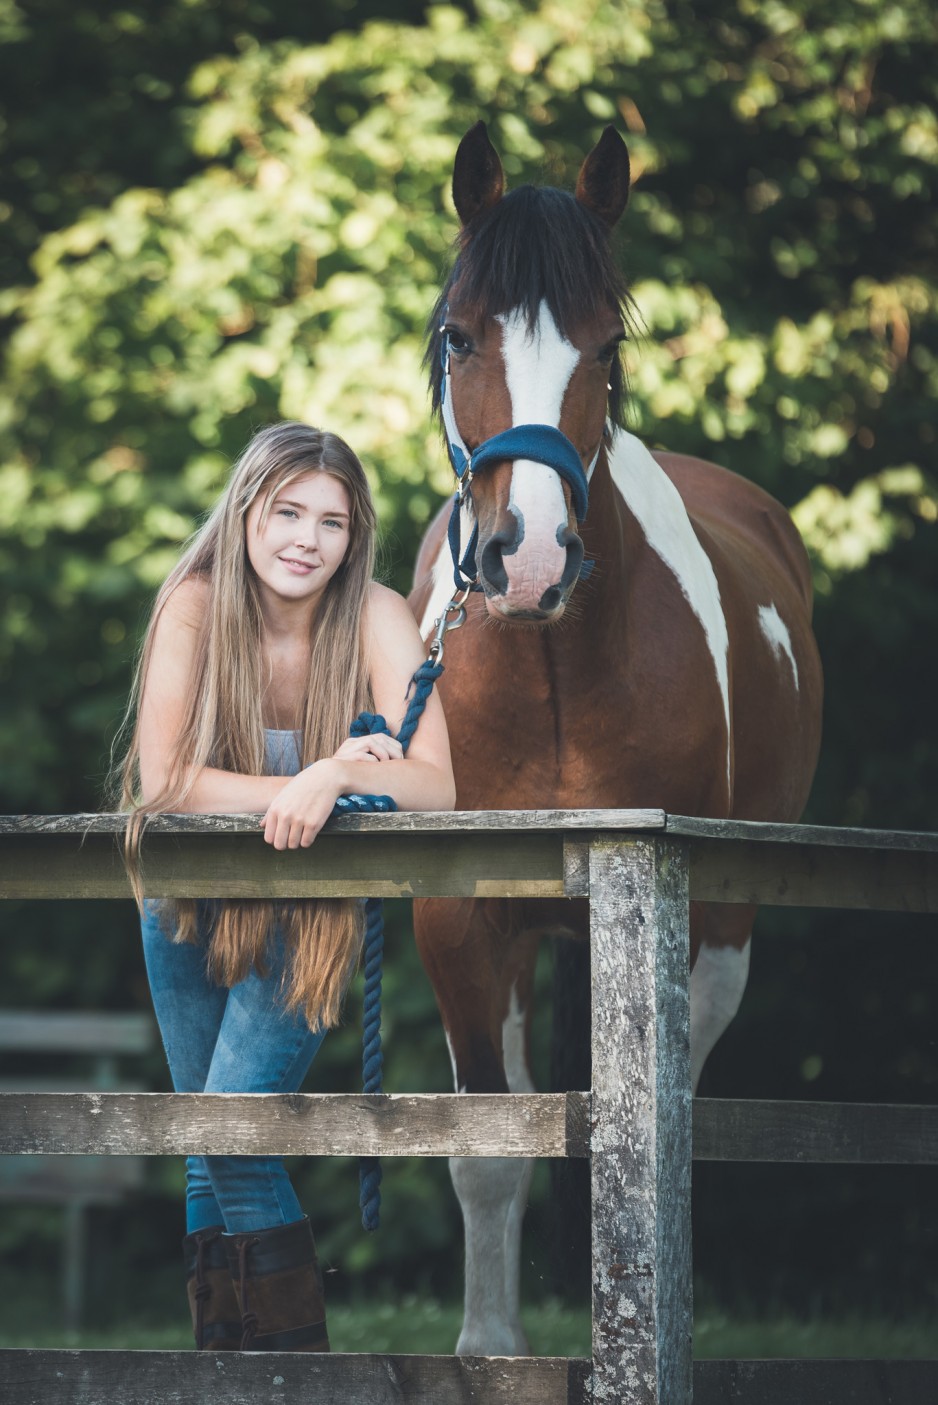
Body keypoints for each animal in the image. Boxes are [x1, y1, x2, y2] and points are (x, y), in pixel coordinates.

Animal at [408, 121, 823, 1356]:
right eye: (459, 334)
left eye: (606, 344)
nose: (531, 557)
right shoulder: (460, 922)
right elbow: (487, 1153)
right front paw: (488, 1354)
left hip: (721, 937)